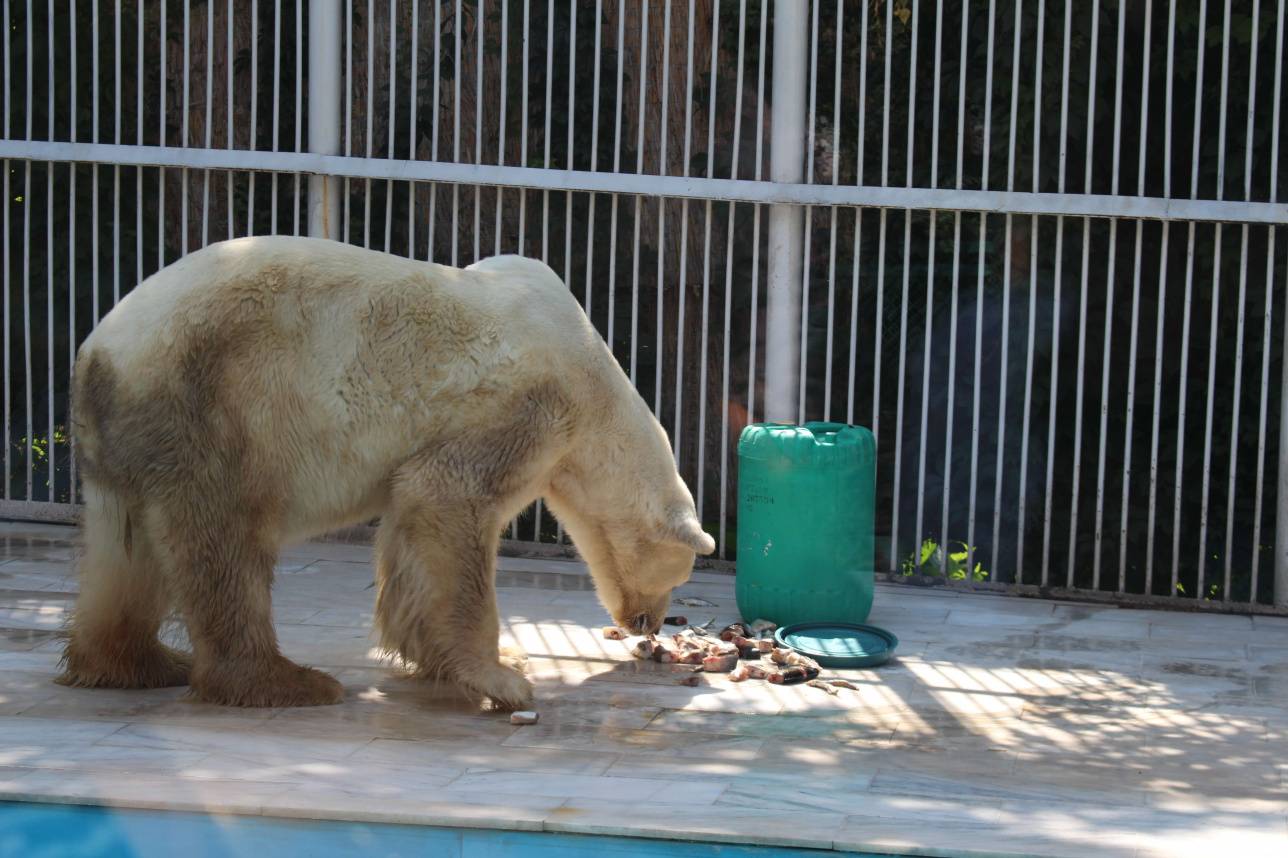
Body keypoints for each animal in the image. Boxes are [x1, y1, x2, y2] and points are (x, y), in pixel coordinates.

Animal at [60, 235, 716, 705]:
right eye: (676, 574)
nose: (648, 625)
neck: (593, 377)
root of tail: (97, 356)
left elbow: (410, 528)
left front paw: (461, 658)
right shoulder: (526, 407)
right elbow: (448, 498)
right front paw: (503, 678)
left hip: (136, 440)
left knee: (125, 553)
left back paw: (135, 663)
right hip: (213, 408)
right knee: (225, 542)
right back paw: (287, 681)